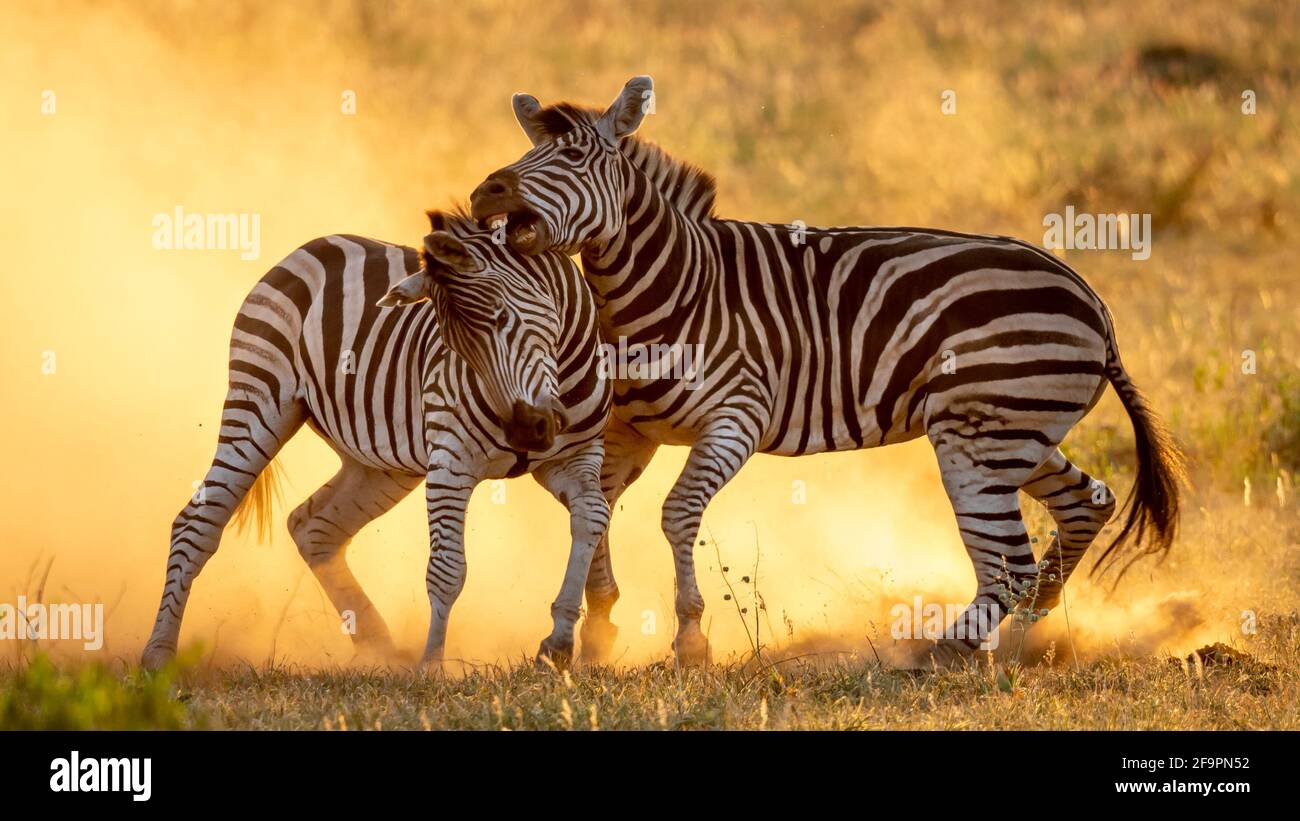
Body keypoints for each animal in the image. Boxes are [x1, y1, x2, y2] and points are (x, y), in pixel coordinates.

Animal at [144, 211, 611, 675]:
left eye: (501, 319)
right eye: (455, 347)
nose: (526, 431)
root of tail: (316, 243)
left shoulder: (576, 458)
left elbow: (592, 517)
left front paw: (558, 643)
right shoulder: (451, 462)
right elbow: (447, 569)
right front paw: (431, 668)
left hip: (379, 461)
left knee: (312, 525)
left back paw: (379, 646)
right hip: (258, 398)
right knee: (197, 523)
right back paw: (159, 655)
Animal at [470, 75, 1190, 665]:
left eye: (572, 158)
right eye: (528, 153)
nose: (485, 190)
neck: (670, 285)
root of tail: (1092, 299)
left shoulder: (736, 417)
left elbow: (677, 514)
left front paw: (691, 640)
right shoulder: (628, 432)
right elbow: (593, 511)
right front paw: (590, 631)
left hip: (982, 436)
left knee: (1008, 563)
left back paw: (942, 653)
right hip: (1014, 431)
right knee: (1086, 502)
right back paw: (1024, 642)